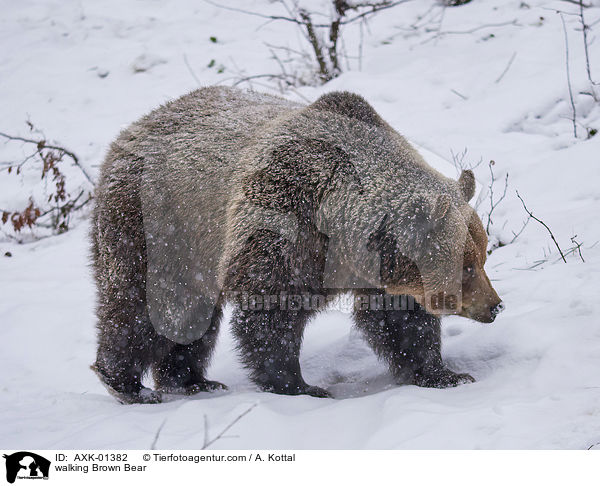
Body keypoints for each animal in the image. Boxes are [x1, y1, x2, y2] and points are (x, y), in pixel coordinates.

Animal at [89, 86, 502, 402]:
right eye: (466, 266)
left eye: (482, 257)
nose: (495, 306)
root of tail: (131, 130)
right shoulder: (285, 221)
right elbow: (271, 311)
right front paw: (299, 386)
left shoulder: (375, 270)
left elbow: (399, 319)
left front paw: (443, 374)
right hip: (160, 226)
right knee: (153, 304)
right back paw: (127, 384)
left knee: (190, 317)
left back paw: (192, 381)